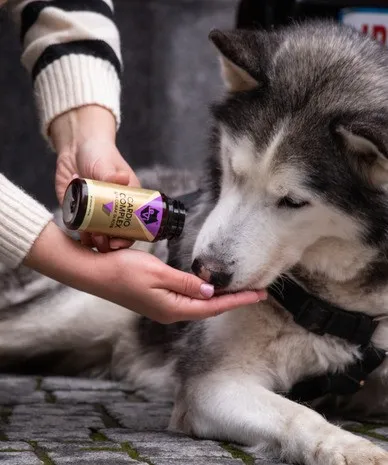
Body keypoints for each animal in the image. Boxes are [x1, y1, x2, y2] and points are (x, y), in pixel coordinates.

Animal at [3, 20, 388, 464]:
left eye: (293, 202)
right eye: (234, 171)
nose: (205, 270)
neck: (339, 303)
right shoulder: (213, 384)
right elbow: (297, 413)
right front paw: (345, 444)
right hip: (61, 315)